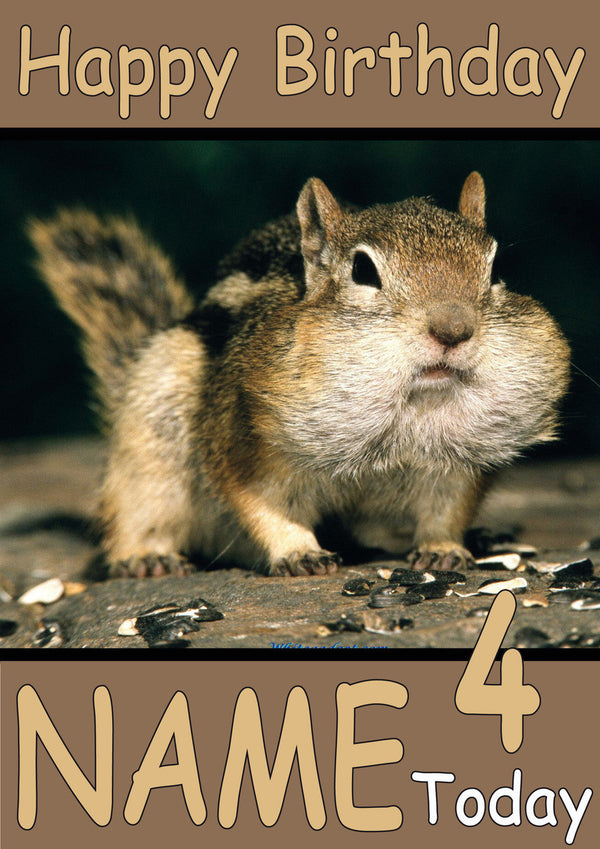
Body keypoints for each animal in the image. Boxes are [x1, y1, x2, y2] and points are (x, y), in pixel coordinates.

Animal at [29, 172, 570, 578]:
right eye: (363, 271)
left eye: (494, 269)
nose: (453, 330)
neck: (410, 406)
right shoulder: (245, 442)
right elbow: (263, 502)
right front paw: (298, 552)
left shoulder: (457, 464)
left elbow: (447, 508)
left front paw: (444, 547)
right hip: (151, 436)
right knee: (136, 510)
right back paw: (146, 557)